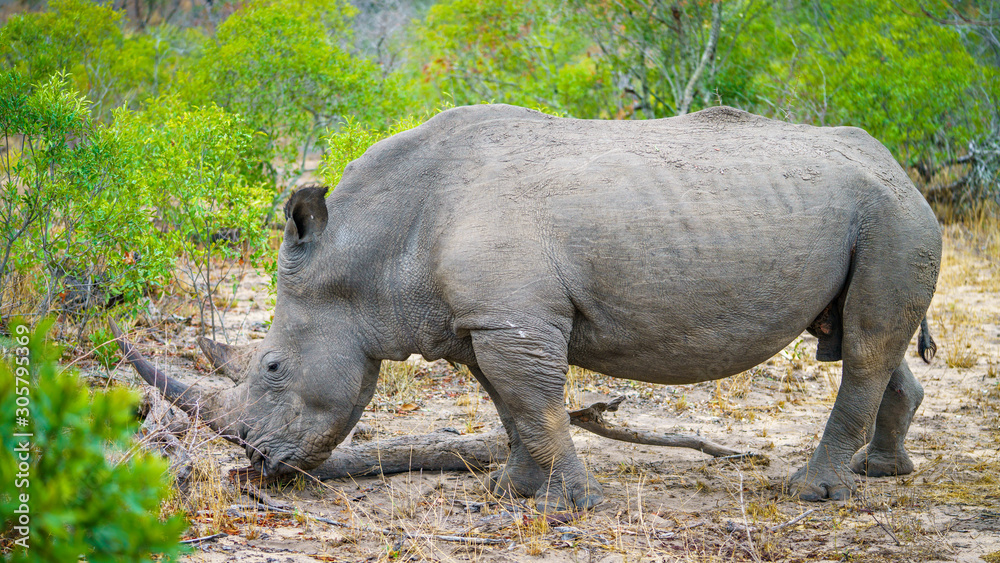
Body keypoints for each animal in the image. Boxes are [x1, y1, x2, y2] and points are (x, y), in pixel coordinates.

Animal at [116, 104, 941, 512]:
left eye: (272, 365)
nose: (256, 463)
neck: (367, 250)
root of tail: (901, 168)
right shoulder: (480, 321)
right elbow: (511, 407)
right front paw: (507, 491)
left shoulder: (513, 320)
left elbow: (538, 405)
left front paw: (571, 507)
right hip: (877, 212)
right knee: (867, 338)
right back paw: (881, 473)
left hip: (892, 216)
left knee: (866, 344)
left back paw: (812, 493)